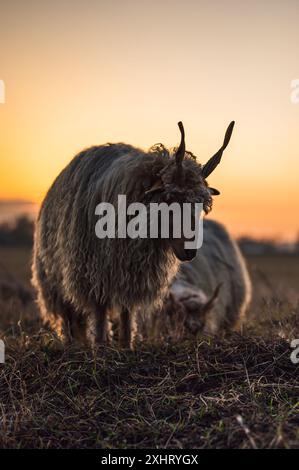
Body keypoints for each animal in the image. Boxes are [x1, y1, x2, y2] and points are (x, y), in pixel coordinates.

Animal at [31, 122, 236, 348]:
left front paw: (127, 345)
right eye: (170, 199)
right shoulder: (95, 270)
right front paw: (101, 345)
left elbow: (127, 310)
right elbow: (99, 309)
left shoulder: (132, 272)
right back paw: (72, 343)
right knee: (68, 313)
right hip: (53, 277)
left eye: (200, 204)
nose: (190, 252)